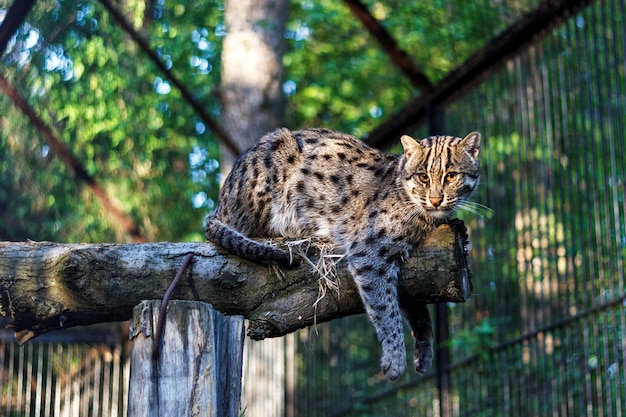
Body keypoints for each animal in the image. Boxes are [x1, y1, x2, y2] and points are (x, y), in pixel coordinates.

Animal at [205, 127, 478, 380]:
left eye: (451, 176)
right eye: (423, 177)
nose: (435, 200)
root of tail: (219, 204)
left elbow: (414, 301)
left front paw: (423, 349)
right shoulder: (369, 253)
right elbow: (385, 307)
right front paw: (395, 359)